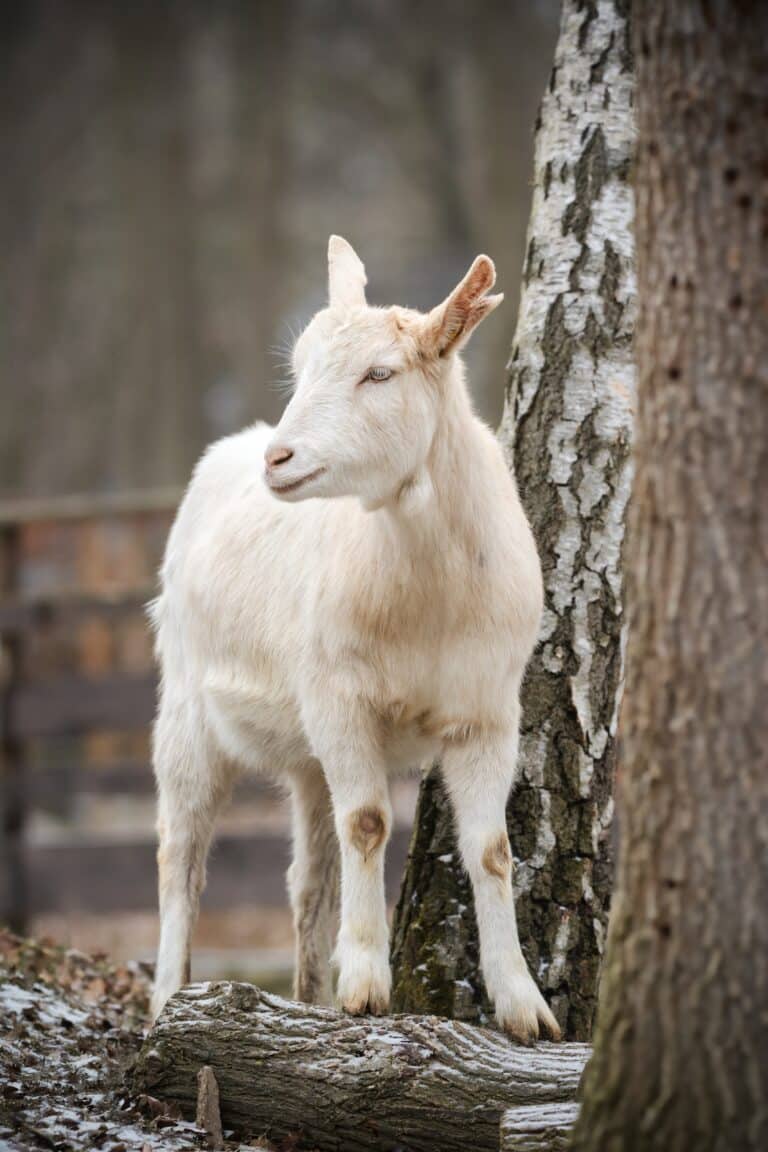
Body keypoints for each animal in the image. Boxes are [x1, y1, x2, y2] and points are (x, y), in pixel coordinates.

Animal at [150, 236, 560, 1042]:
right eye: (300, 367)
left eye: (380, 374)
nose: (278, 459)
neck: (428, 600)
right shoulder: (342, 699)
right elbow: (369, 825)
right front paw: (367, 986)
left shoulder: (487, 712)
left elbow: (492, 850)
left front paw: (523, 1004)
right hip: (185, 708)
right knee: (182, 856)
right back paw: (163, 1002)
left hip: (306, 751)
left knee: (308, 877)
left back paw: (305, 996)